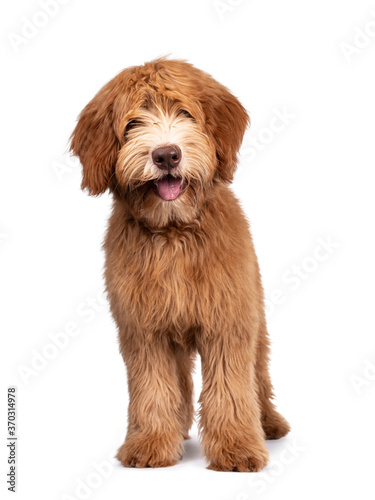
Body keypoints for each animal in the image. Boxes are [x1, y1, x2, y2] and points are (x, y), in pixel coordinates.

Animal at [70, 58, 290, 472]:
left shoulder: (228, 322)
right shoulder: (144, 330)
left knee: (258, 376)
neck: (173, 230)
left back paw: (269, 423)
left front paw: (237, 447)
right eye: (133, 123)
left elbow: (231, 387)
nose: (166, 155)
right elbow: (153, 387)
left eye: (184, 113)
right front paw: (151, 442)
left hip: (256, 319)